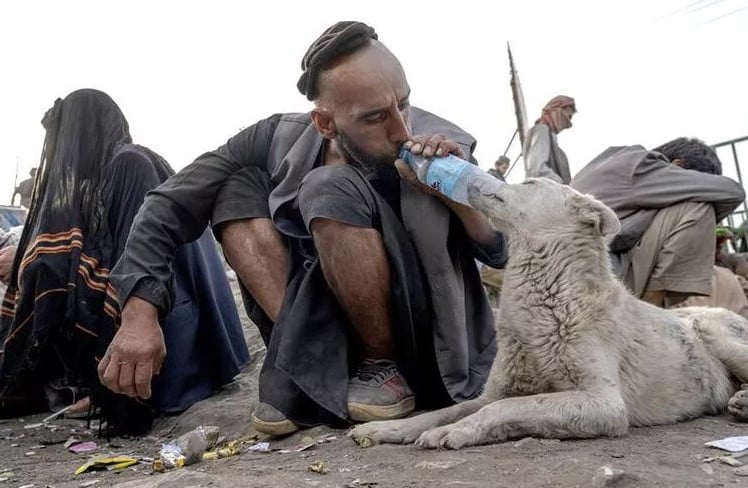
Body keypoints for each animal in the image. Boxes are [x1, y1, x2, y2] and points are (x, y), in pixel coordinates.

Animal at [350, 178, 748, 450]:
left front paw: (456, 431)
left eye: (528, 183)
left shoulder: (604, 403)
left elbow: (509, 406)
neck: (551, 304)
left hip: (712, 329)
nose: (472, 180)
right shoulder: (493, 391)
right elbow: (442, 411)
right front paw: (386, 430)